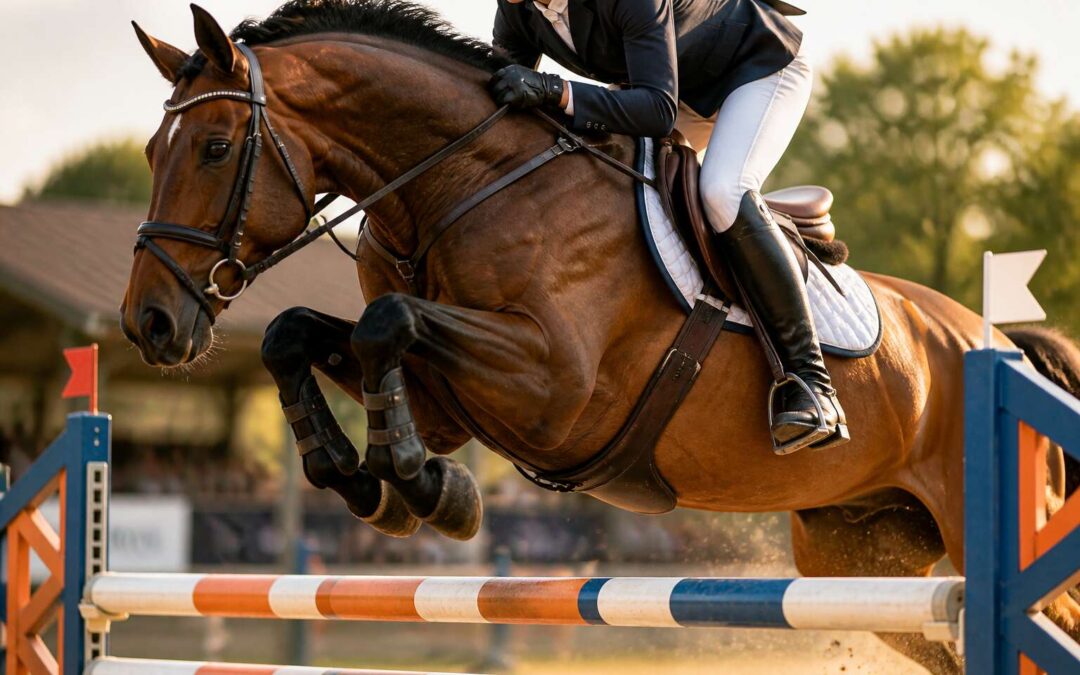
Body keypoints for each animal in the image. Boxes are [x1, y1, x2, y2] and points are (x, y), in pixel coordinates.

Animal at [119, 2, 1080, 672]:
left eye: (213, 147)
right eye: (151, 151)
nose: (148, 323)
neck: (460, 185)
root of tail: (992, 340)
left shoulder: (554, 390)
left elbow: (391, 324)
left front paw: (426, 487)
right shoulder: (447, 394)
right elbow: (301, 334)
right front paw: (374, 479)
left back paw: (807, 401)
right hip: (859, 559)